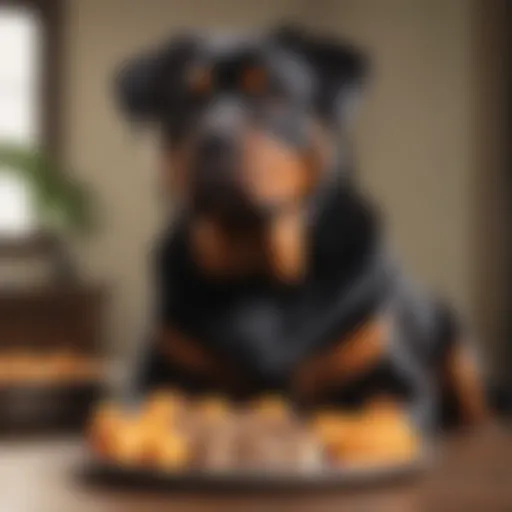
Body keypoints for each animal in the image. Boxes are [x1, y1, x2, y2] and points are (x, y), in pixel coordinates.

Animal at [115, 25, 488, 432]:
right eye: (185, 103)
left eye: (272, 94)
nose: (212, 140)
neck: (257, 273)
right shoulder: (157, 374)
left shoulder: (394, 379)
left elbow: (378, 420)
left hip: (461, 354)